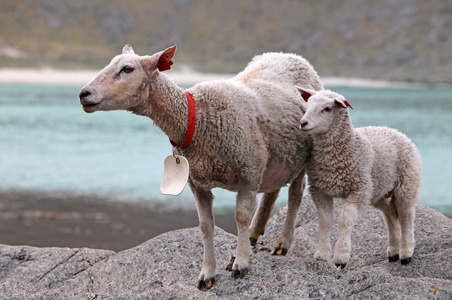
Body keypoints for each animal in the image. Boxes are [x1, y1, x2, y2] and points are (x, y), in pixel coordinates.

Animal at [78, 44, 324, 288]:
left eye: (127, 69)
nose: (83, 94)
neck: (195, 120)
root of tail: (289, 55)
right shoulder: (197, 182)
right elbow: (205, 226)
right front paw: (207, 273)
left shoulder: (248, 170)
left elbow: (241, 216)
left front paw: (241, 263)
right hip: (276, 158)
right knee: (272, 192)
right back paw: (254, 234)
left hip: (301, 154)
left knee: (295, 194)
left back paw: (282, 243)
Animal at [296, 86, 420, 268]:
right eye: (308, 104)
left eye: (327, 108)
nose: (303, 123)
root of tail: (395, 131)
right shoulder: (319, 190)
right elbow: (325, 222)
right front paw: (322, 255)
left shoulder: (358, 190)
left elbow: (344, 220)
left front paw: (341, 257)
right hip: (377, 189)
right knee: (389, 214)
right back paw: (393, 251)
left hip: (406, 183)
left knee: (406, 216)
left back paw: (406, 253)